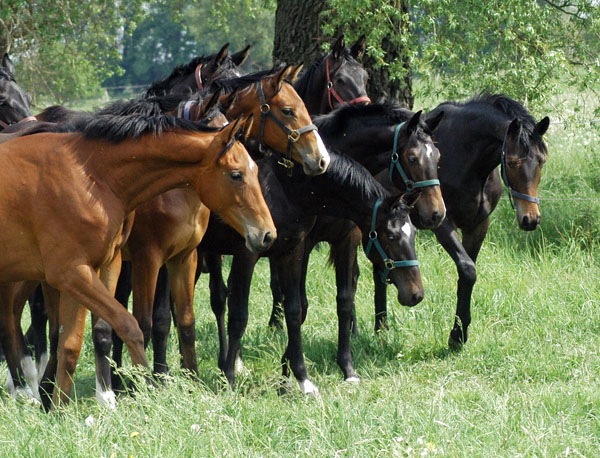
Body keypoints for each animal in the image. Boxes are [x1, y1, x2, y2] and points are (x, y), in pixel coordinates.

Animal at [0, 112, 276, 410]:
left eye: (256, 171)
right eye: (236, 174)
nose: (267, 234)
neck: (90, 177)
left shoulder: (92, 270)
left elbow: (71, 343)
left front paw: (60, 409)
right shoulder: (75, 272)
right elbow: (131, 325)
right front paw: (146, 387)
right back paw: (24, 389)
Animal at [372, 95, 552, 348]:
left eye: (542, 161)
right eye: (513, 163)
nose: (531, 219)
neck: (468, 159)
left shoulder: (477, 226)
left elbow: (468, 275)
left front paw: (459, 333)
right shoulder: (442, 223)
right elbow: (467, 270)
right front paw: (457, 335)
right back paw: (380, 328)